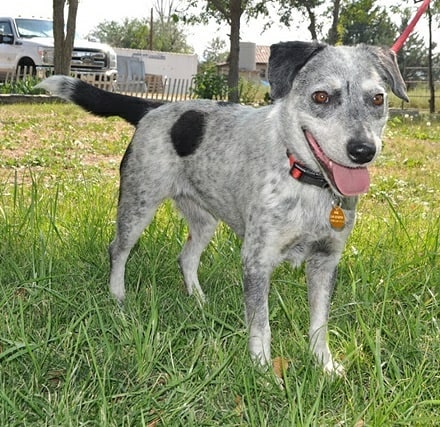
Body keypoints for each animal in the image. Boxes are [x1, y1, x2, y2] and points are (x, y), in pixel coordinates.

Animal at [36, 40, 408, 374]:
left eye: (378, 98)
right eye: (321, 96)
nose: (363, 150)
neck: (306, 182)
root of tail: (152, 108)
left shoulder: (325, 261)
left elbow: (319, 325)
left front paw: (325, 365)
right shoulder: (257, 260)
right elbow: (261, 325)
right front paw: (263, 370)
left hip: (204, 221)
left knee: (186, 257)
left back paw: (199, 300)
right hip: (138, 204)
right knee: (118, 250)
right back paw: (117, 296)